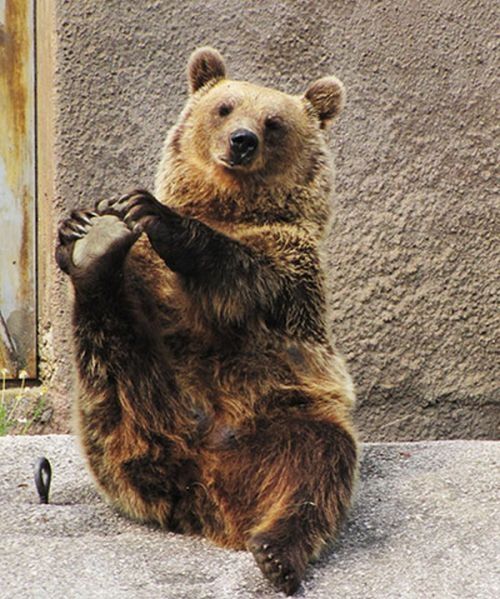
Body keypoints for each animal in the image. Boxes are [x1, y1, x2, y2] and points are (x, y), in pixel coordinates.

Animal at [56, 47, 358, 596]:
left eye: (274, 122)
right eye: (224, 107)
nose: (242, 140)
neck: (228, 205)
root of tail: (203, 479)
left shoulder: (291, 268)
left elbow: (245, 276)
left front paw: (155, 213)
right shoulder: (149, 276)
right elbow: (144, 292)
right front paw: (82, 223)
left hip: (283, 416)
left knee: (317, 466)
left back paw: (277, 553)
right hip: (119, 423)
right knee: (109, 355)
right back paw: (95, 254)